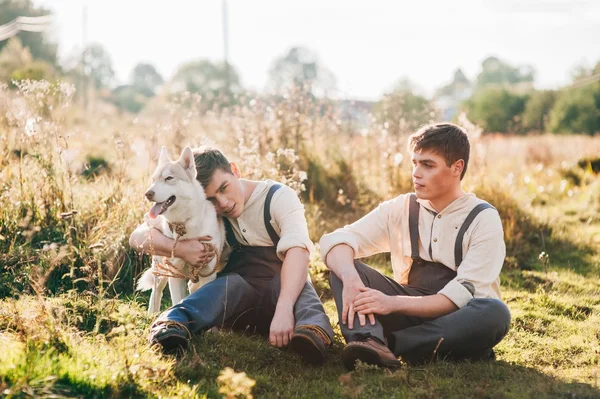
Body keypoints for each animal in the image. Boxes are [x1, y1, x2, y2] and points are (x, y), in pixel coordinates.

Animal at [137, 145, 226, 314]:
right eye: (153, 180)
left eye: (169, 178)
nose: (147, 194)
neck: (184, 225)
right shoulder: (175, 273)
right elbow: (177, 301)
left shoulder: (208, 273)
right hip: (161, 268)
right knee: (156, 290)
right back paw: (152, 314)